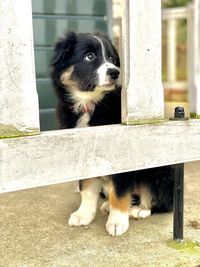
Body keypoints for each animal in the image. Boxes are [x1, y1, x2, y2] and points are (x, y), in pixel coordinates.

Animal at [51, 31, 175, 237]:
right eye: (89, 56)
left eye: (110, 57)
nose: (115, 72)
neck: (90, 104)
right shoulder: (81, 152)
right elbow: (86, 188)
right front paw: (83, 214)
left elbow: (121, 190)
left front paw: (117, 222)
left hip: (159, 172)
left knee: (163, 201)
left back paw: (141, 209)